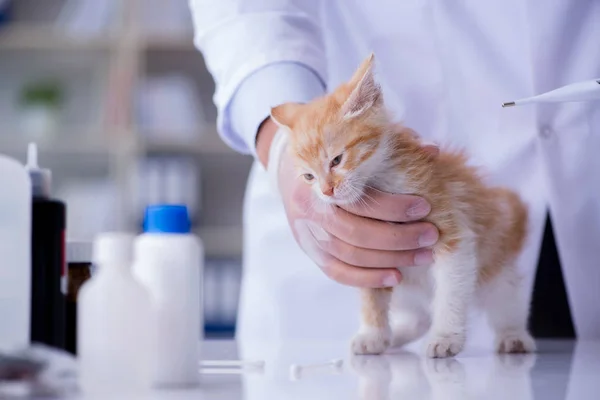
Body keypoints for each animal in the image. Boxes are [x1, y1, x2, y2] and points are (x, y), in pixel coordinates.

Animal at [270, 54, 536, 360]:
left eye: (336, 160)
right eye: (308, 177)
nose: (327, 191)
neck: (380, 182)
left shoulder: (452, 230)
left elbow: (451, 289)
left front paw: (445, 336)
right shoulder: (371, 259)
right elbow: (371, 295)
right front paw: (372, 335)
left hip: (496, 264)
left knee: (505, 300)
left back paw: (513, 336)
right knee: (419, 316)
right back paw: (395, 337)